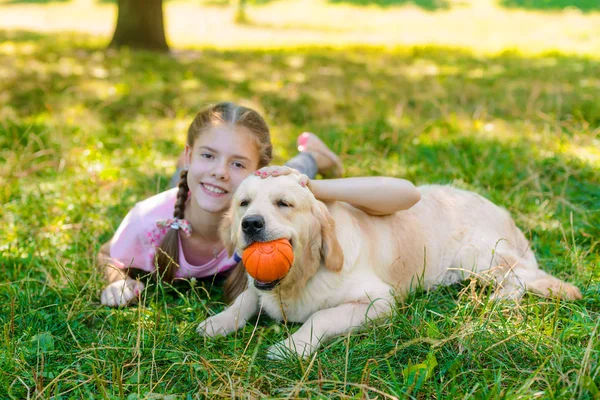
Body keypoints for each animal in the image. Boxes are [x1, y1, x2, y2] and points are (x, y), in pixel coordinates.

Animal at [197, 173, 580, 358]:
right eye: (243, 203)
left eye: (284, 203)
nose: (250, 224)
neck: (301, 277)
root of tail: (505, 213)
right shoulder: (258, 288)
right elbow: (246, 298)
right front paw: (219, 322)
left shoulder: (380, 301)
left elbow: (322, 316)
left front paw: (292, 347)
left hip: (474, 254)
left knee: (519, 278)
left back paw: (496, 302)